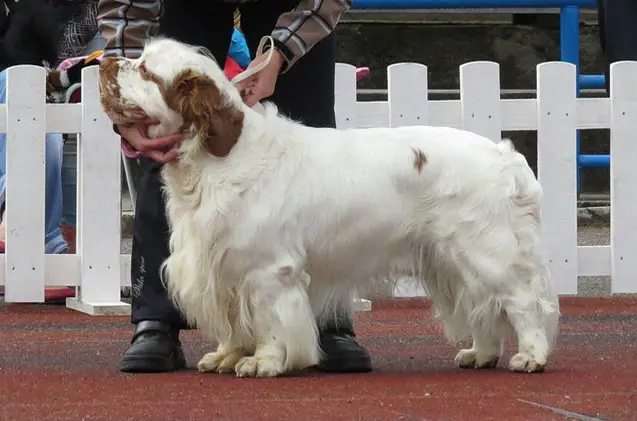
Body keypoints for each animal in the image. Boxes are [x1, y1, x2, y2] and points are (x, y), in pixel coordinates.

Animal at [97, 37, 560, 378]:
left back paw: (531, 357)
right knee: (482, 305)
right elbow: (233, 322)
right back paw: (480, 354)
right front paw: (226, 356)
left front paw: (263, 362)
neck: (217, 157)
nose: (104, 62)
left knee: (521, 301)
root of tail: (505, 156)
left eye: (146, 71)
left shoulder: (268, 270)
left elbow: (268, 321)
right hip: (451, 259)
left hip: (486, 251)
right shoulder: (221, 264)